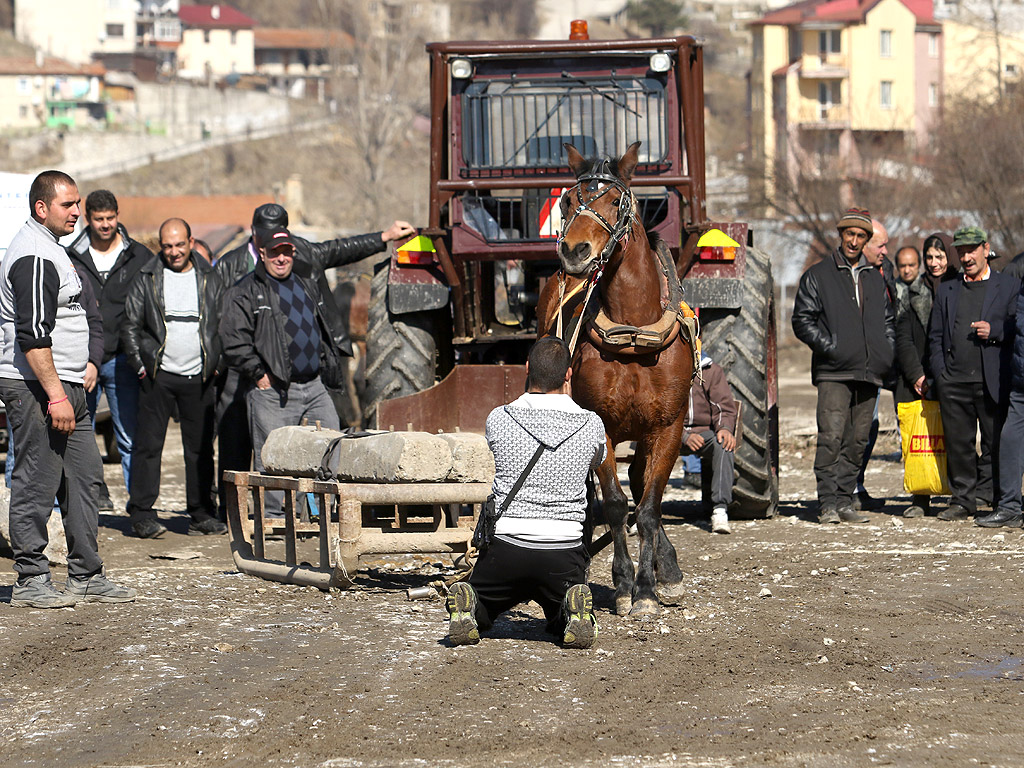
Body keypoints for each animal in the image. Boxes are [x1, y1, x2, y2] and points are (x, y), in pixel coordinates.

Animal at [536, 141, 696, 618]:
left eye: (615, 201)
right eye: (568, 201)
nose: (574, 251)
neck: (632, 330)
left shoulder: (668, 425)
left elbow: (648, 506)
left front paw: (648, 588)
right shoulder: (600, 425)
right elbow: (614, 502)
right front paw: (625, 583)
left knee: (644, 487)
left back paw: (668, 568)